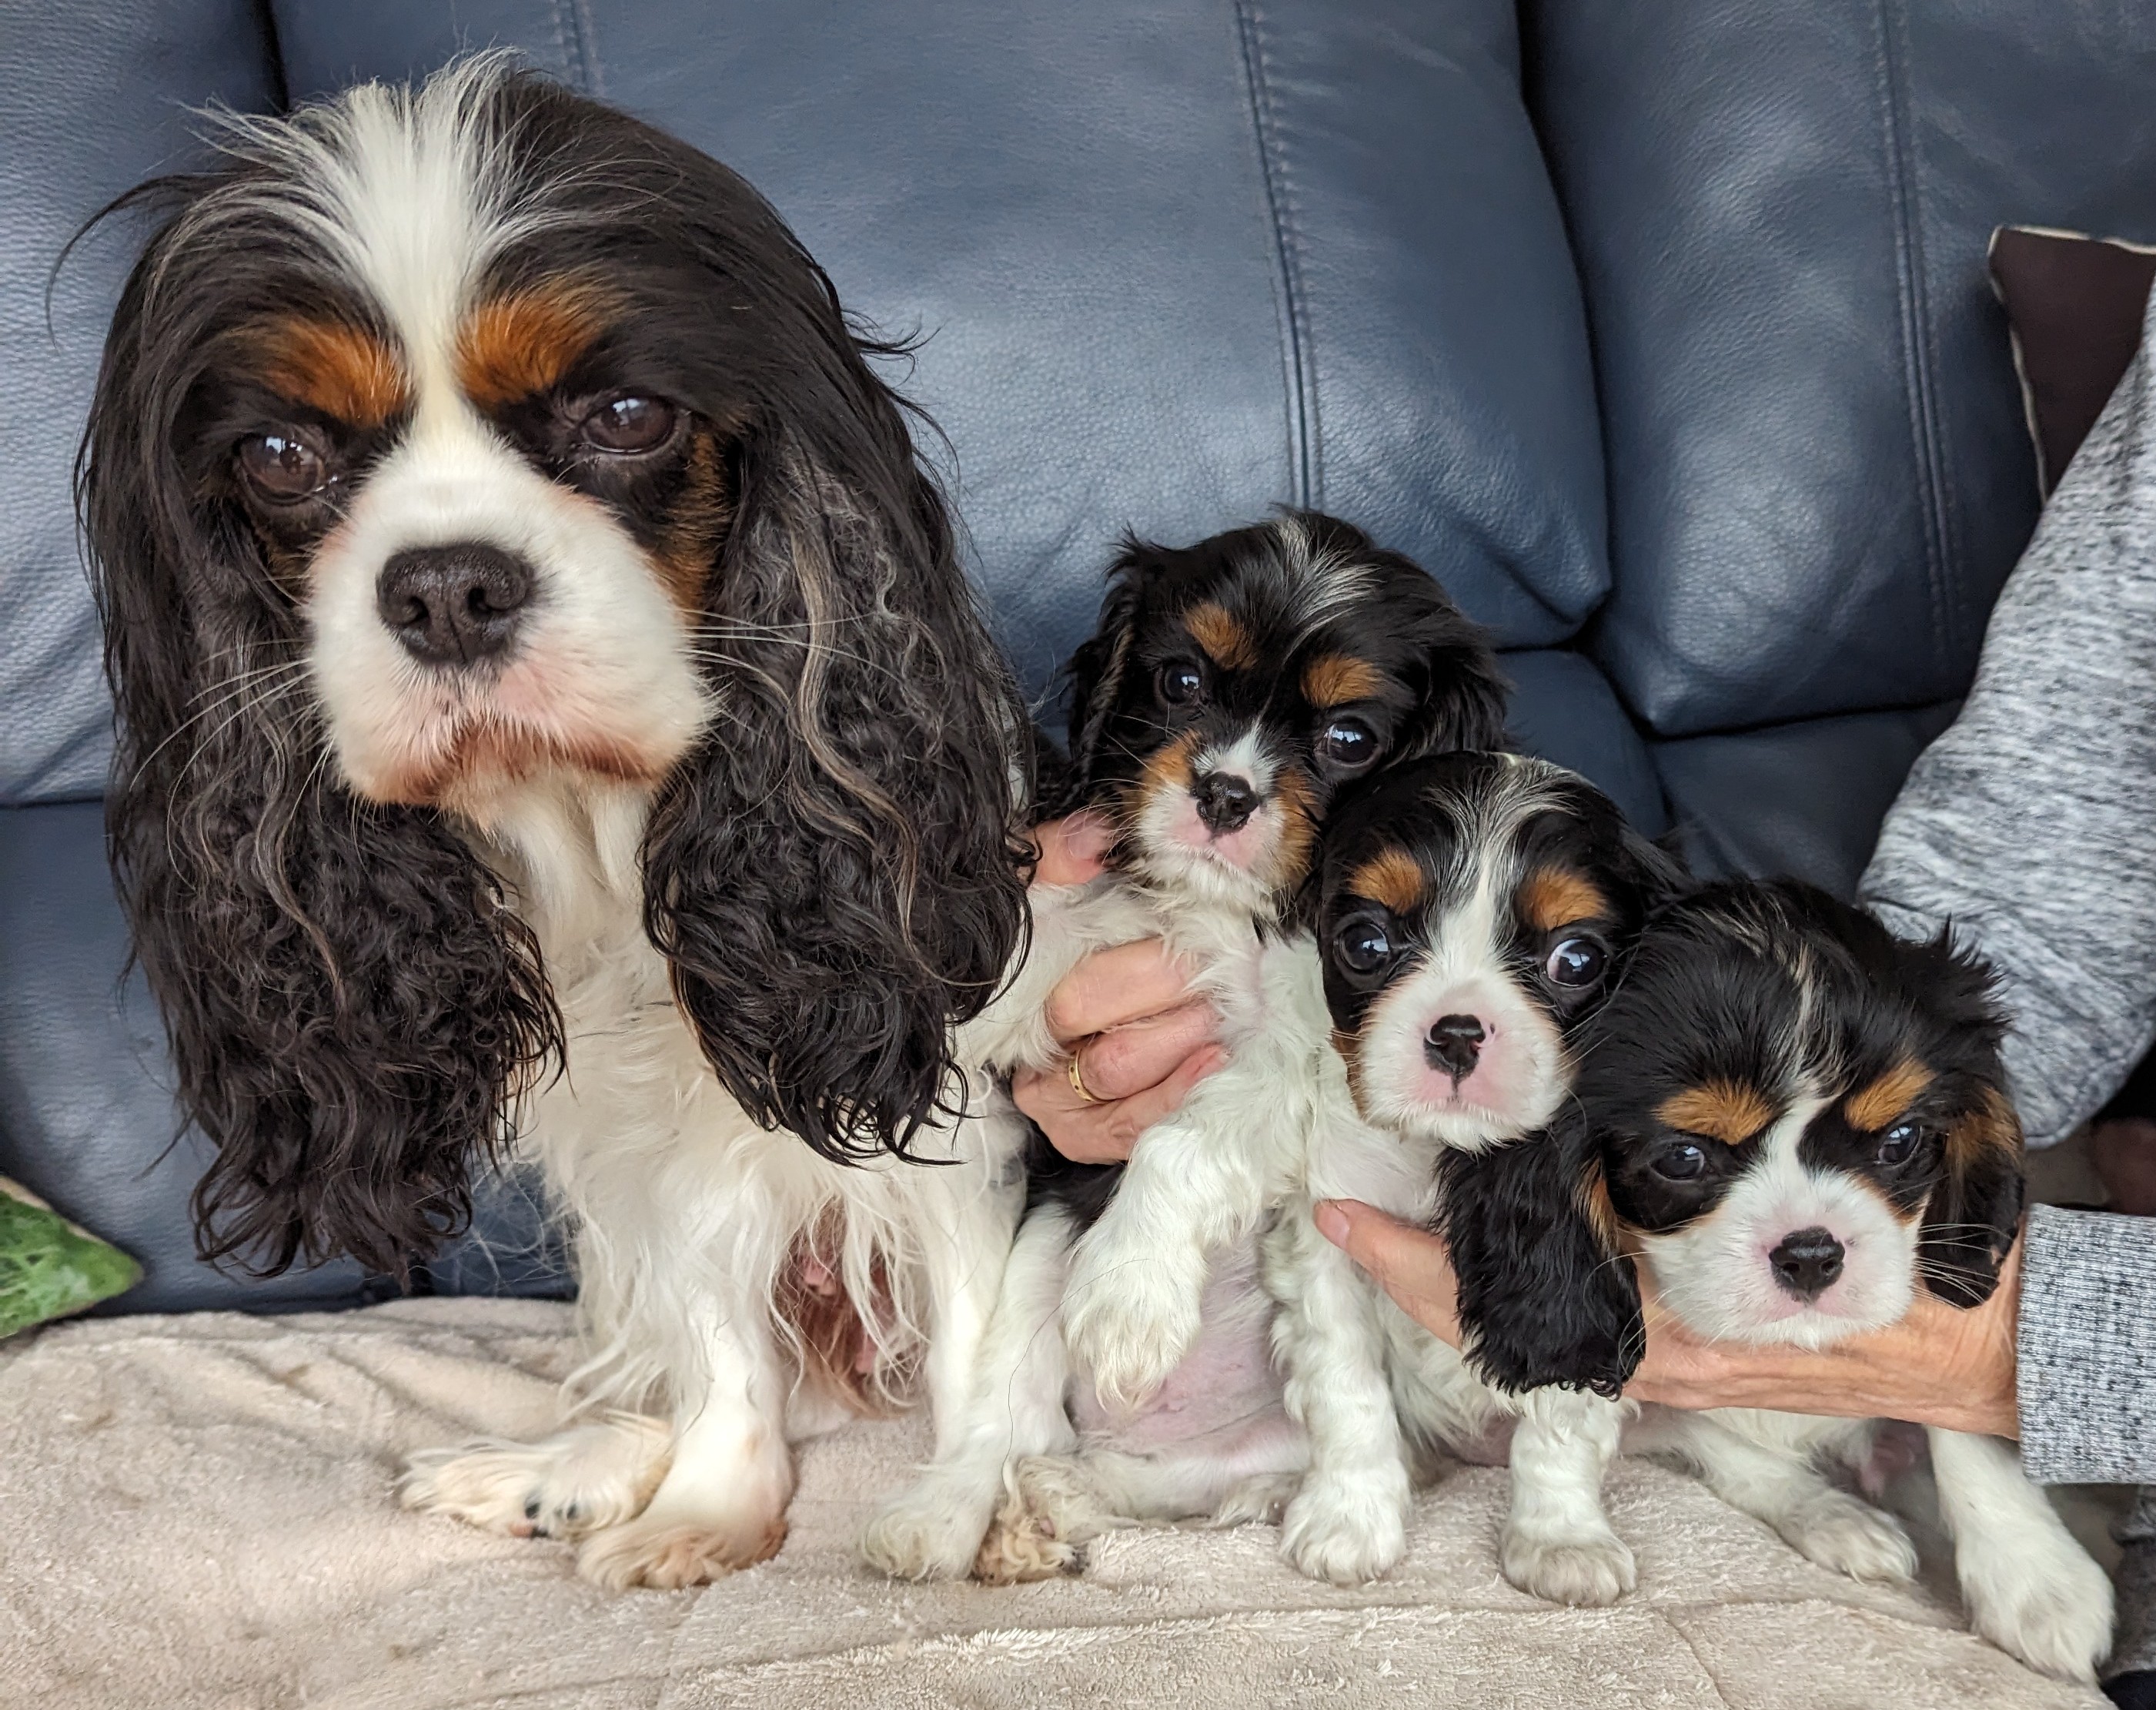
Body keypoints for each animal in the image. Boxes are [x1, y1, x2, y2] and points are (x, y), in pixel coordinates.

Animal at [79, 60, 1030, 1595]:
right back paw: (563, 1474)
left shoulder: (959, 1097)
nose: (447, 588)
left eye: (630, 416)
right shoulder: (661, 1144)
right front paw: (711, 1508)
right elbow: (721, 1347)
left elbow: (973, 1338)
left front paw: (979, 1506)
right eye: (279, 454)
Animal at [849, 513, 1509, 1578]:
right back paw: (968, 1515)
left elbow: (1182, 1138)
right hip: (1036, 1261)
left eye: (1347, 738)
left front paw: (1128, 1296)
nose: (1224, 793)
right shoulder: (1116, 930)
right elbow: (1039, 942)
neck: (1237, 916)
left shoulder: (1305, 1067)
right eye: (1182, 681)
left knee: (1203, 1489)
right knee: (1007, 1422)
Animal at [1302, 755, 1690, 1595]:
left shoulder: (1588, 1284)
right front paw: (1349, 1519)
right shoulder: (1326, 1235)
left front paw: (1560, 1539)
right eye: (1365, 942)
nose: (1453, 1032)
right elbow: (1345, 1383)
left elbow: (1560, 1410)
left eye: (1575, 959)